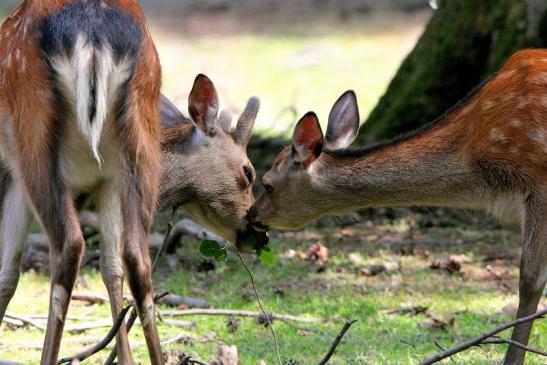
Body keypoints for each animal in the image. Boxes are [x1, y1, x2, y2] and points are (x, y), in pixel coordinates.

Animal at [0, 0, 266, 364]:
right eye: (248, 172)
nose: (259, 233)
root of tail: (93, 37)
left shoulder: (18, 173)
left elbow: (8, 275)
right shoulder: (103, 183)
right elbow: (111, 270)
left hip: (35, 141)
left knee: (69, 247)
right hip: (133, 139)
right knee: (136, 260)